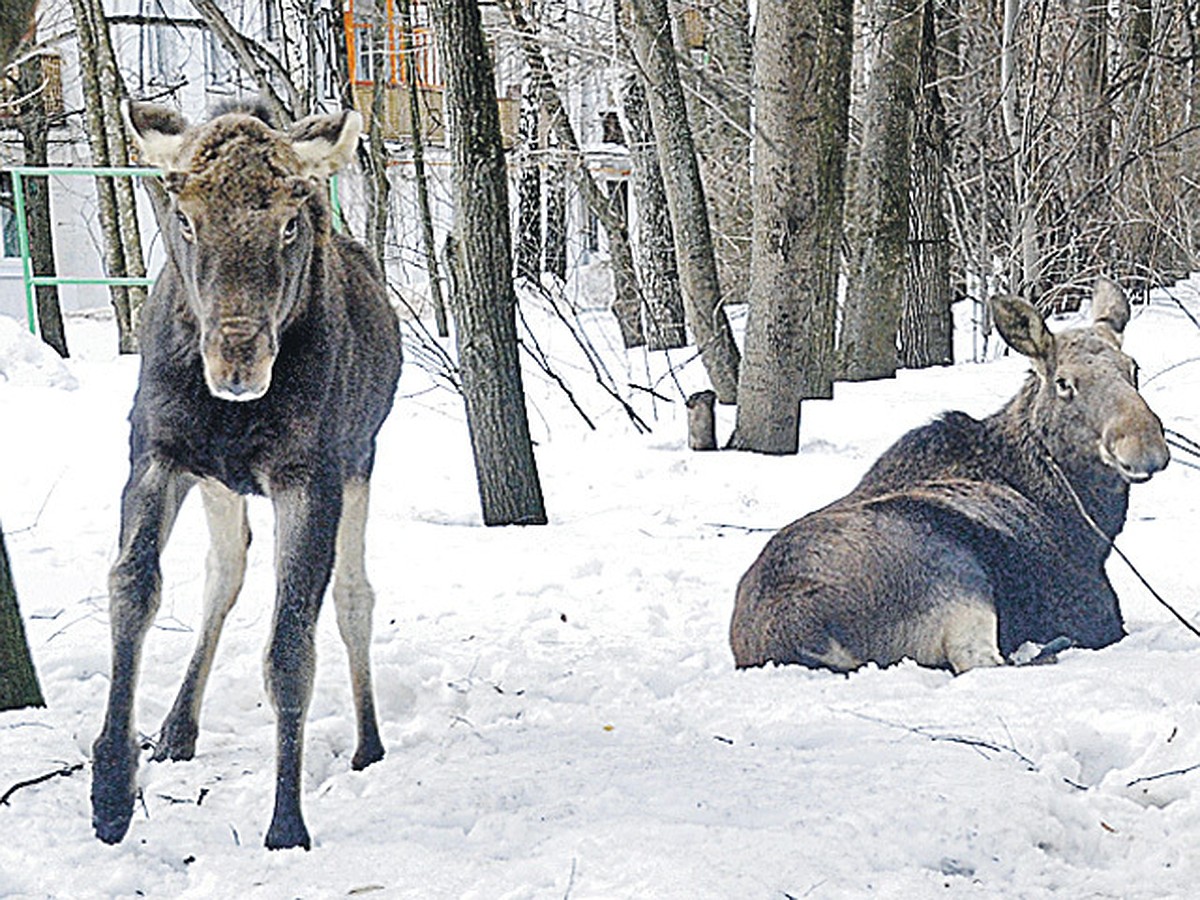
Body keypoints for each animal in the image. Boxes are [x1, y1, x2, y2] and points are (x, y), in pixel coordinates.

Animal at [92, 103, 403, 854]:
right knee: (223, 573)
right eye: (184, 214)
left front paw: (287, 819)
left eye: (292, 220)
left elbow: (290, 645)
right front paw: (111, 788)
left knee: (354, 596)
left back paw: (368, 741)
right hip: (219, 485)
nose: (238, 361)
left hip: (362, 464)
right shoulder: (158, 451)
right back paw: (177, 727)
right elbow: (132, 587)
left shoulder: (310, 477)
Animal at [729, 282, 1171, 676]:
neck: (1091, 521)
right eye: (1064, 382)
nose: (1145, 446)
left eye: (1133, 368)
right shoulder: (1093, 607)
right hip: (957, 579)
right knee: (981, 664)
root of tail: (800, 635)